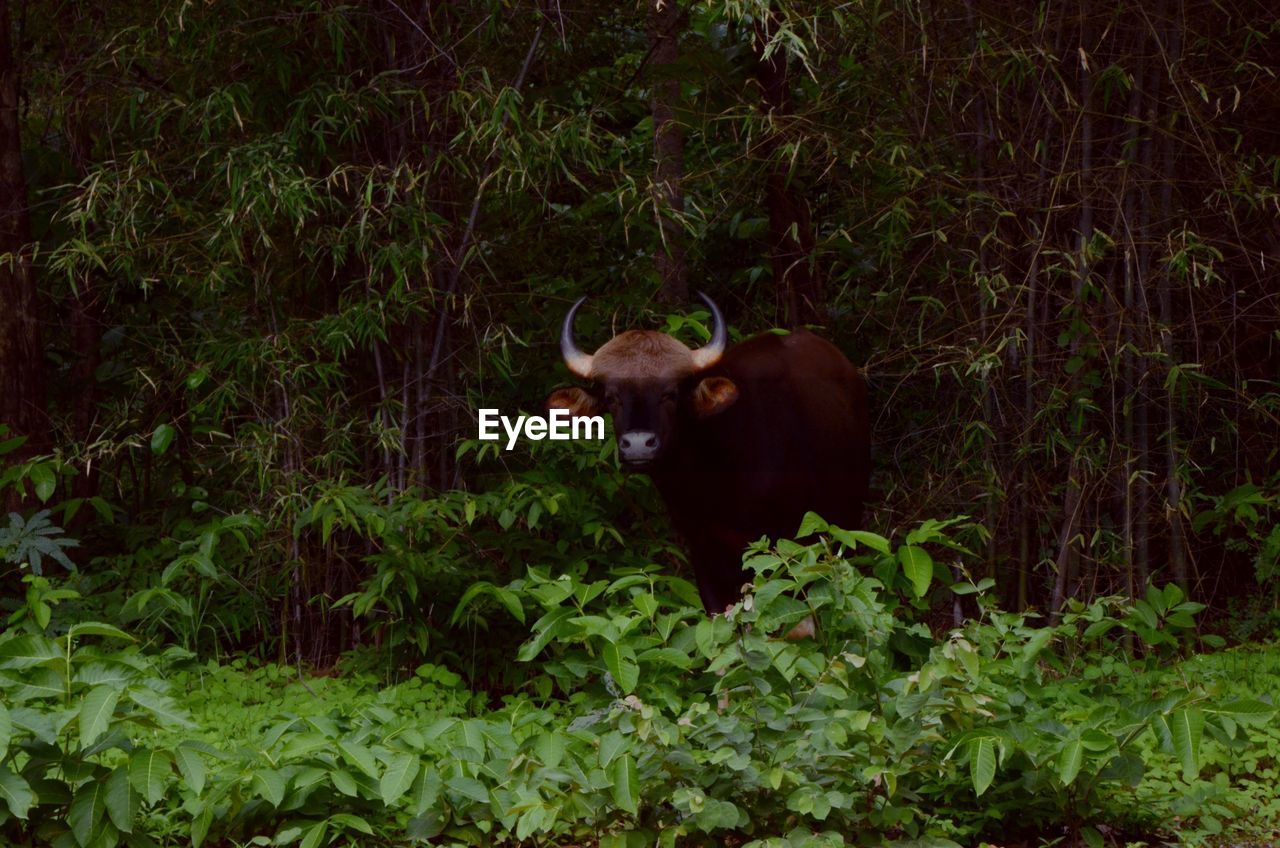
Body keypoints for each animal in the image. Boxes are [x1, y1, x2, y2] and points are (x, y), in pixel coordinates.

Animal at [545, 295, 875, 614]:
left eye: (671, 394)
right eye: (612, 397)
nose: (638, 445)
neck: (715, 481)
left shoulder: (785, 543)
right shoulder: (702, 550)